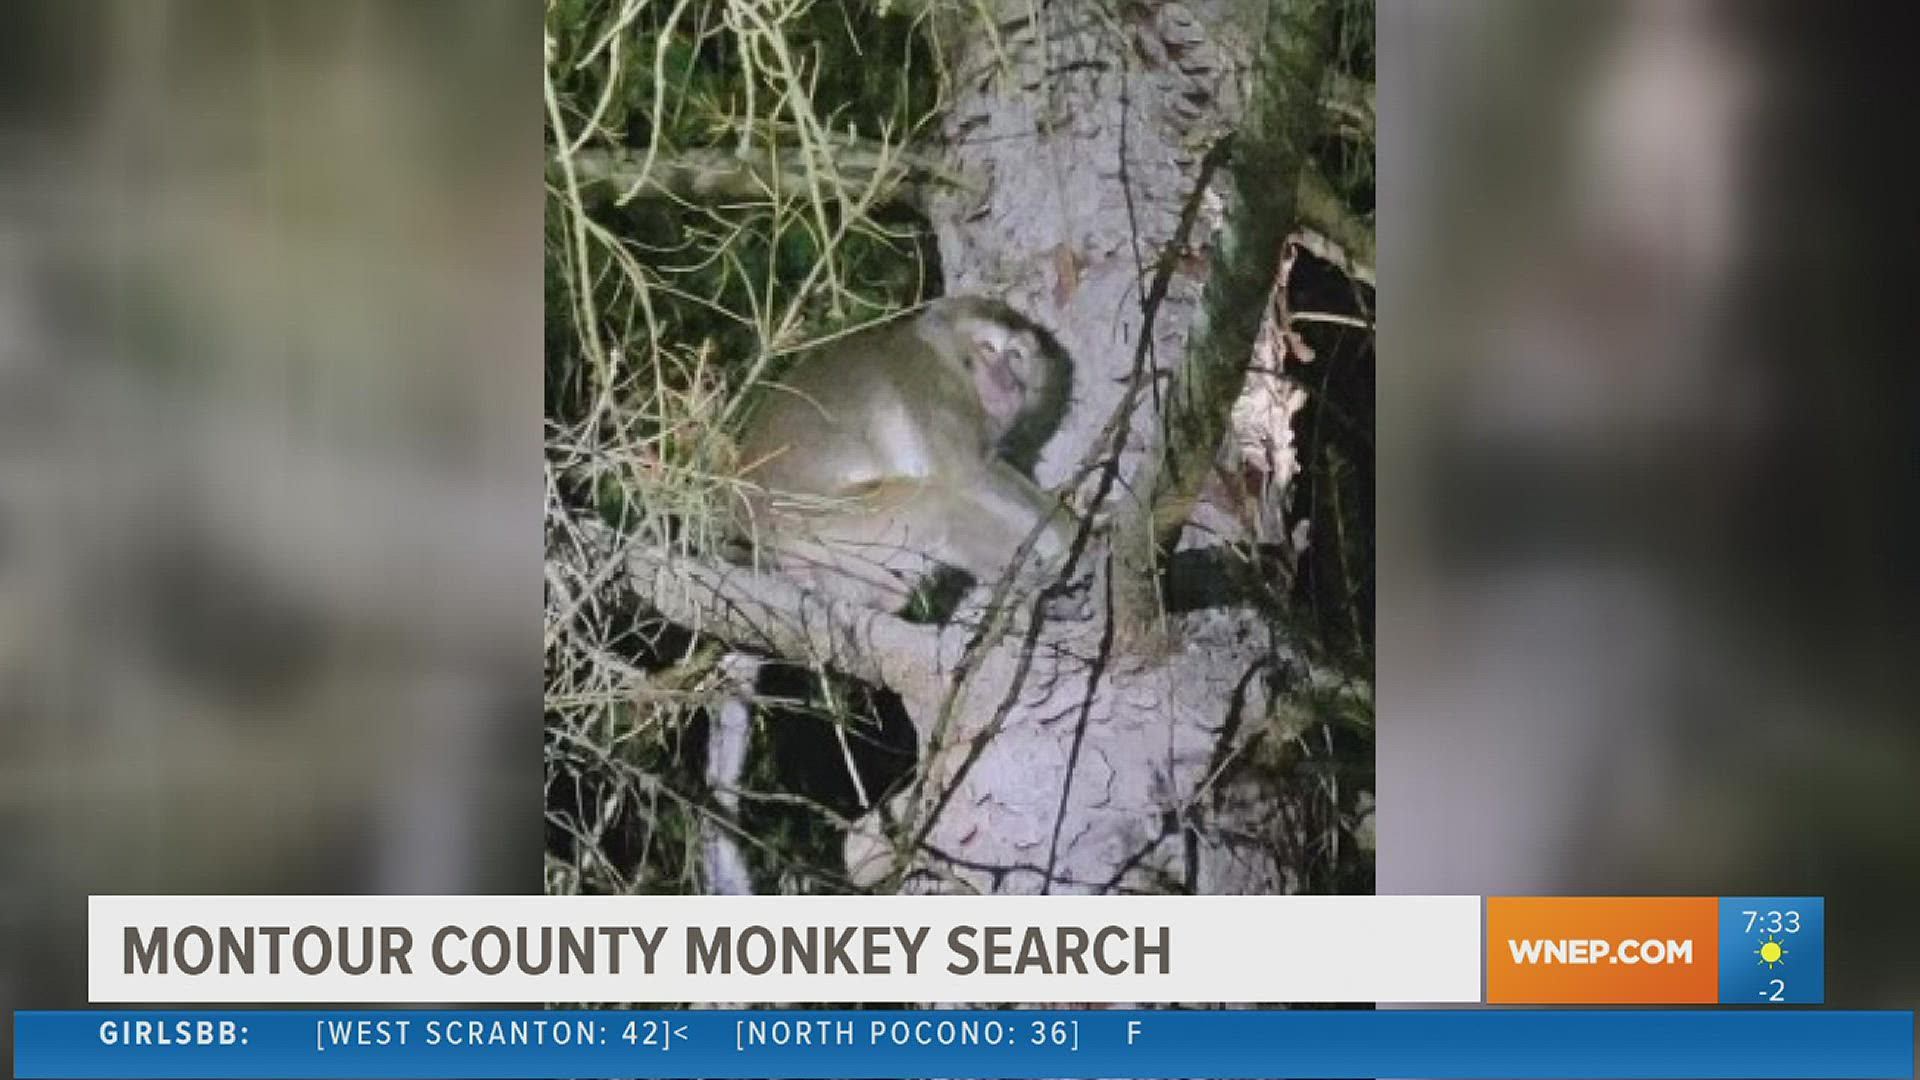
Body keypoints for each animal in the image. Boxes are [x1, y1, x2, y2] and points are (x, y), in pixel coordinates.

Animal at [731, 296, 1078, 617]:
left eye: (1016, 356)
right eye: (988, 348)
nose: (1008, 385)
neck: (948, 357)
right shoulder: (935, 384)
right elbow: (969, 474)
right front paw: (1066, 532)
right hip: (823, 518)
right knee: (942, 503)